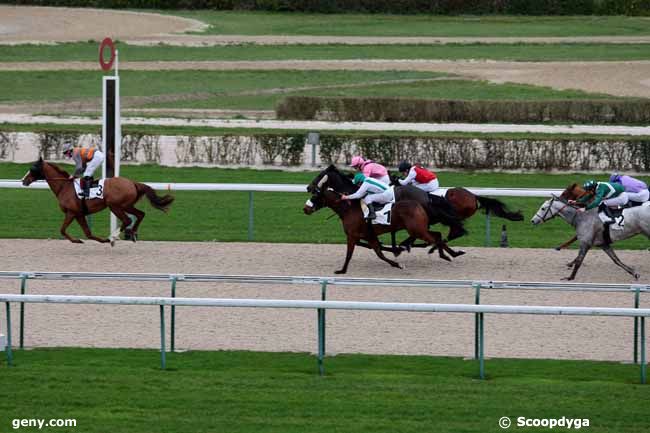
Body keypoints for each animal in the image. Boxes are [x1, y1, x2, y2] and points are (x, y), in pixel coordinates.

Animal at [21, 158, 173, 243]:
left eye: (32, 168)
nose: (23, 180)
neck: (64, 186)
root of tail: (133, 183)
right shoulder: (79, 214)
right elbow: (88, 233)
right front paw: (94, 240)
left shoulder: (71, 212)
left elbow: (63, 230)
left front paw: (76, 241)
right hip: (127, 205)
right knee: (140, 214)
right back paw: (132, 234)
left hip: (115, 206)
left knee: (127, 219)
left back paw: (114, 237)